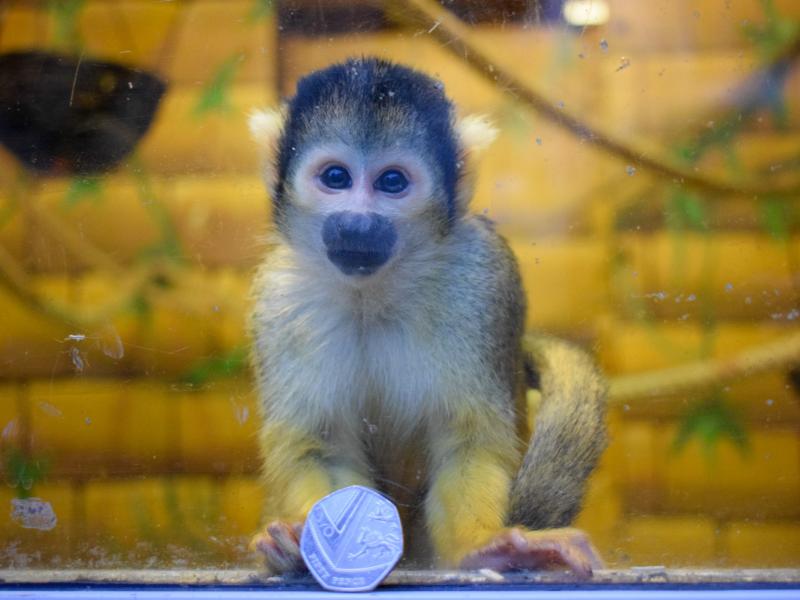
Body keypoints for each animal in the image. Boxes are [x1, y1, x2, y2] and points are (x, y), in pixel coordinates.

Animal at [247, 57, 607, 578]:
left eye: (392, 182)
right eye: (336, 177)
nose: (357, 224)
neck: (372, 294)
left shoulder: (481, 280)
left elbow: (466, 437)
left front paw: (484, 546)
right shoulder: (279, 301)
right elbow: (321, 445)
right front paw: (300, 546)